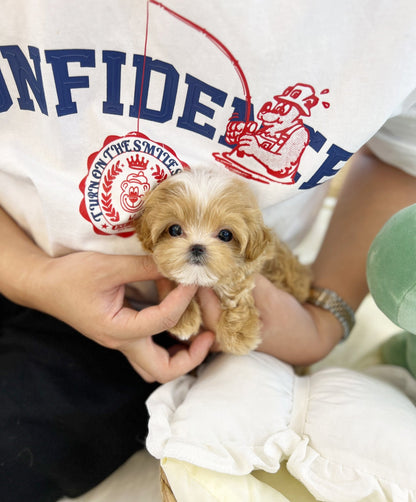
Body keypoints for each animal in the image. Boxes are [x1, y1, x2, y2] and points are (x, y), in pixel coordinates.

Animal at [134, 168, 312, 352]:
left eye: (226, 234)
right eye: (175, 230)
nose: (197, 247)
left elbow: (236, 288)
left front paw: (238, 334)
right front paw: (183, 317)